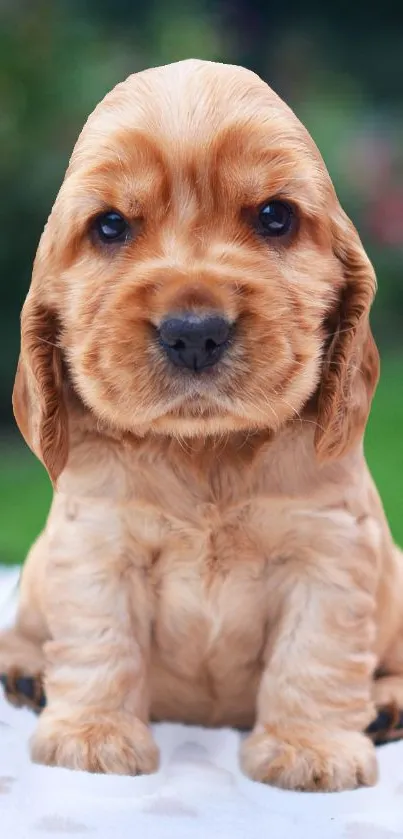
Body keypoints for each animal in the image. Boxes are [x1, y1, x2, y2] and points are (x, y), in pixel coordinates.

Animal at [1, 60, 402, 796]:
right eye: (109, 226)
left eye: (275, 216)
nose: (194, 333)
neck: (205, 451)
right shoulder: (97, 545)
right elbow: (101, 641)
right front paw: (92, 736)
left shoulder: (328, 551)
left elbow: (313, 653)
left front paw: (308, 749)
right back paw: (26, 671)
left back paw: (386, 705)